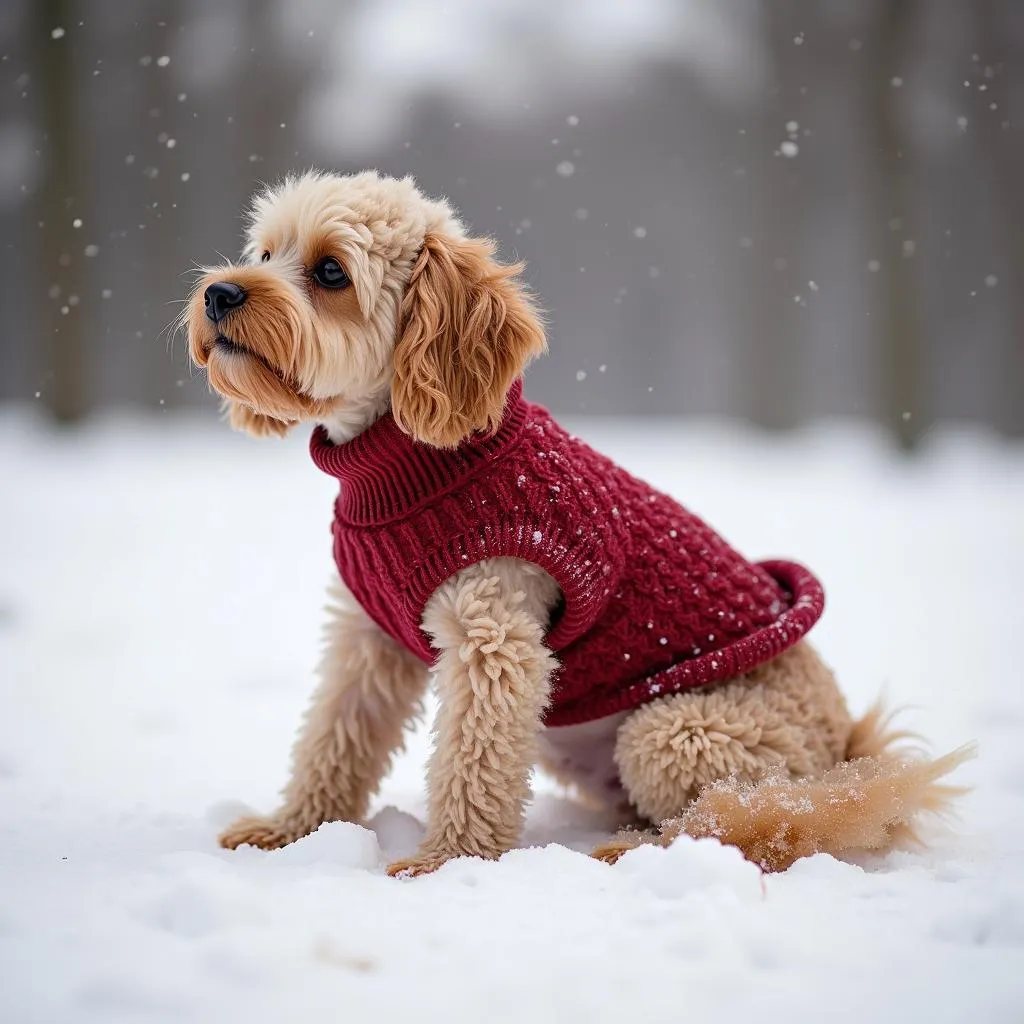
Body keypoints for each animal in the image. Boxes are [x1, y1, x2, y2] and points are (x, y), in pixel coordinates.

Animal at [186, 172, 974, 876]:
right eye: (264, 252)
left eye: (330, 272)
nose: (219, 293)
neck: (415, 463)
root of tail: (846, 757)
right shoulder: (366, 640)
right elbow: (333, 739)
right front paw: (293, 829)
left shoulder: (496, 637)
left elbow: (473, 760)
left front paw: (447, 860)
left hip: (673, 730)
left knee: (746, 823)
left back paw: (633, 853)